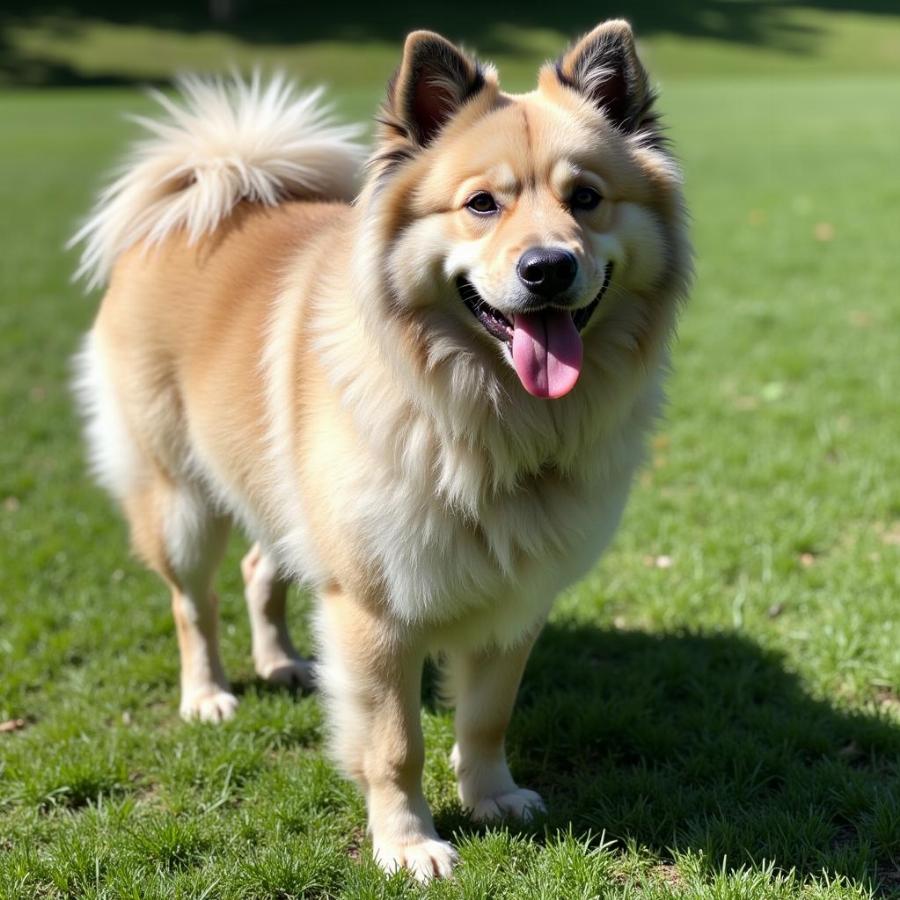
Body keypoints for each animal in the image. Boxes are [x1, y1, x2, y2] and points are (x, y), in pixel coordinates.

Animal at [70, 19, 692, 880]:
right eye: (481, 204)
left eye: (587, 199)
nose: (548, 268)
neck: (482, 416)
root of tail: (212, 188)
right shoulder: (373, 610)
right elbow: (395, 744)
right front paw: (408, 842)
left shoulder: (516, 600)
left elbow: (488, 715)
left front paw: (493, 796)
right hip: (179, 499)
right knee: (191, 602)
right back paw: (208, 694)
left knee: (259, 568)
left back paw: (280, 661)